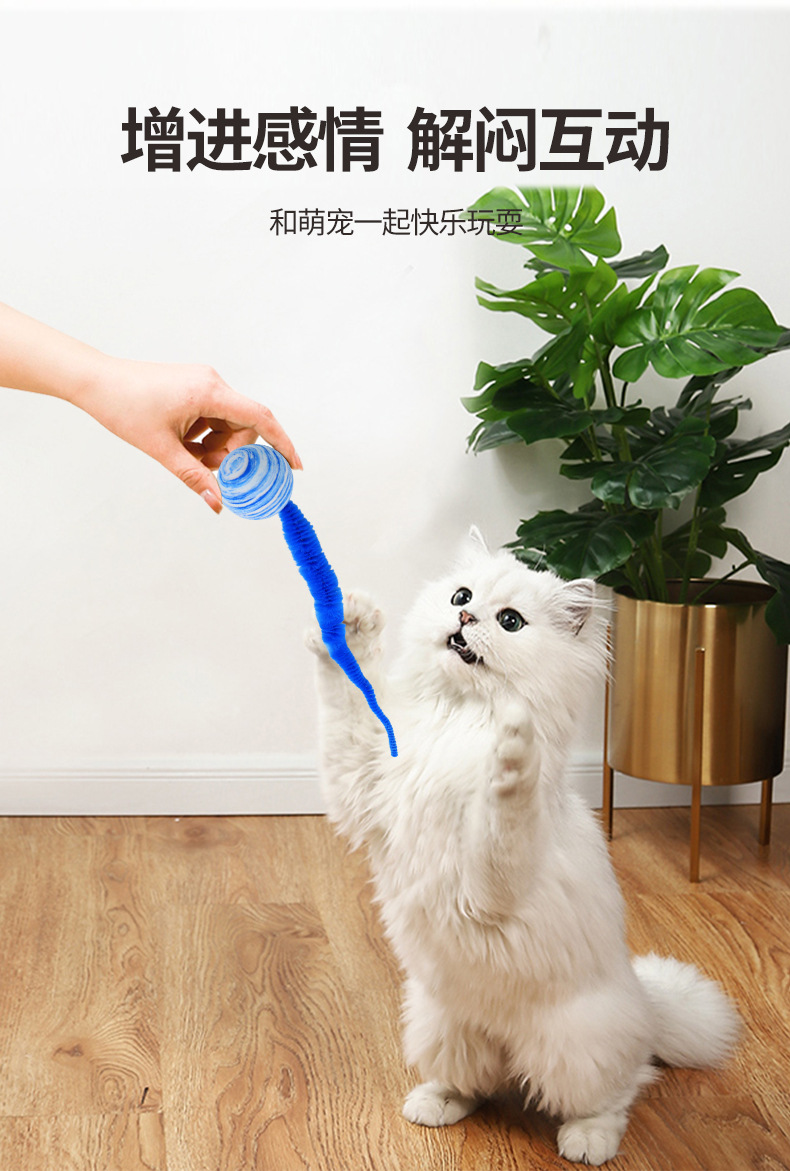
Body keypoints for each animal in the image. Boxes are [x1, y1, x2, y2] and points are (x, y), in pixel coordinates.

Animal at [305, 530, 741, 1166]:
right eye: (462, 596)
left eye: (510, 621)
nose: (465, 617)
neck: (457, 723)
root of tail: (644, 1004)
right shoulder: (362, 781)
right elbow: (344, 690)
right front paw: (347, 619)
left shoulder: (492, 884)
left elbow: (505, 805)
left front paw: (512, 749)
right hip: (441, 1027)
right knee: (479, 1082)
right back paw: (434, 1103)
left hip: (575, 1052)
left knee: (621, 1089)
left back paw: (587, 1141)